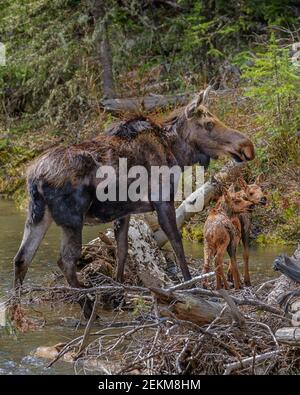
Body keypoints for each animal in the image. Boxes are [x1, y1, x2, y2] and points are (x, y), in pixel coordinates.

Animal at [13, 88, 253, 318]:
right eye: (209, 124)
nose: (247, 146)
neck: (176, 153)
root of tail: (34, 178)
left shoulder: (124, 211)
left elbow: (122, 250)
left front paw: (119, 293)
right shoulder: (162, 199)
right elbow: (176, 242)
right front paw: (189, 285)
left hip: (38, 216)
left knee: (21, 259)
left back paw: (16, 314)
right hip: (72, 219)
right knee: (65, 262)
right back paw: (89, 308)